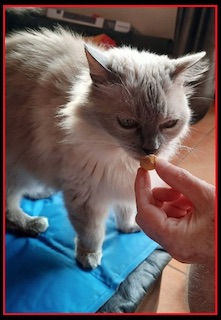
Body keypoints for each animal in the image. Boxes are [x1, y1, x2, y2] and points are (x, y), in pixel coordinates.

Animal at [5, 26, 209, 268]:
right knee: (9, 208)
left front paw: (130, 227)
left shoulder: (125, 182)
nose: (151, 149)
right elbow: (91, 233)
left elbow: (126, 211)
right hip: (16, 170)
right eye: (127, 123)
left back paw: (40, 193)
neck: (118, 157)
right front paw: (89, 258)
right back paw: (34, 223)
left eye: (168, 124)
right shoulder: (86, 194)